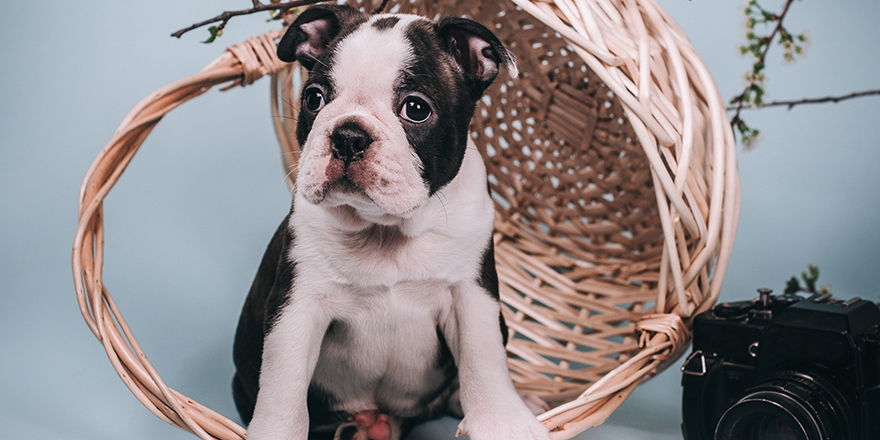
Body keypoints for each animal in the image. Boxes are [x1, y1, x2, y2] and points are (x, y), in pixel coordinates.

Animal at [234, 4, 552, 440]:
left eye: (416, 109)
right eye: (314, 98)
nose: (348, 135)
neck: (386, 229)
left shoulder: (471, 293)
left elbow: (483, 357)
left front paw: (505, 421)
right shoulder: (297, 305)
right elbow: (284, 387)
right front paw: (276, 432)